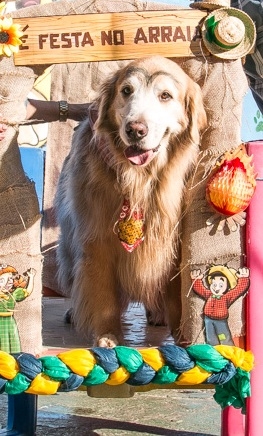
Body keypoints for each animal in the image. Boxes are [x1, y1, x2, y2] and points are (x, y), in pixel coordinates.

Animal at [55, 55, 207, 348]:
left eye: (165, 95)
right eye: (126, 91)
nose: (135, 129)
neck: (139, 180)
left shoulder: (171, 243)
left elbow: (175, 295)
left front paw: (183, 337)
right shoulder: (96, 239)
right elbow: (102, 295)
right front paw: (107, 335)